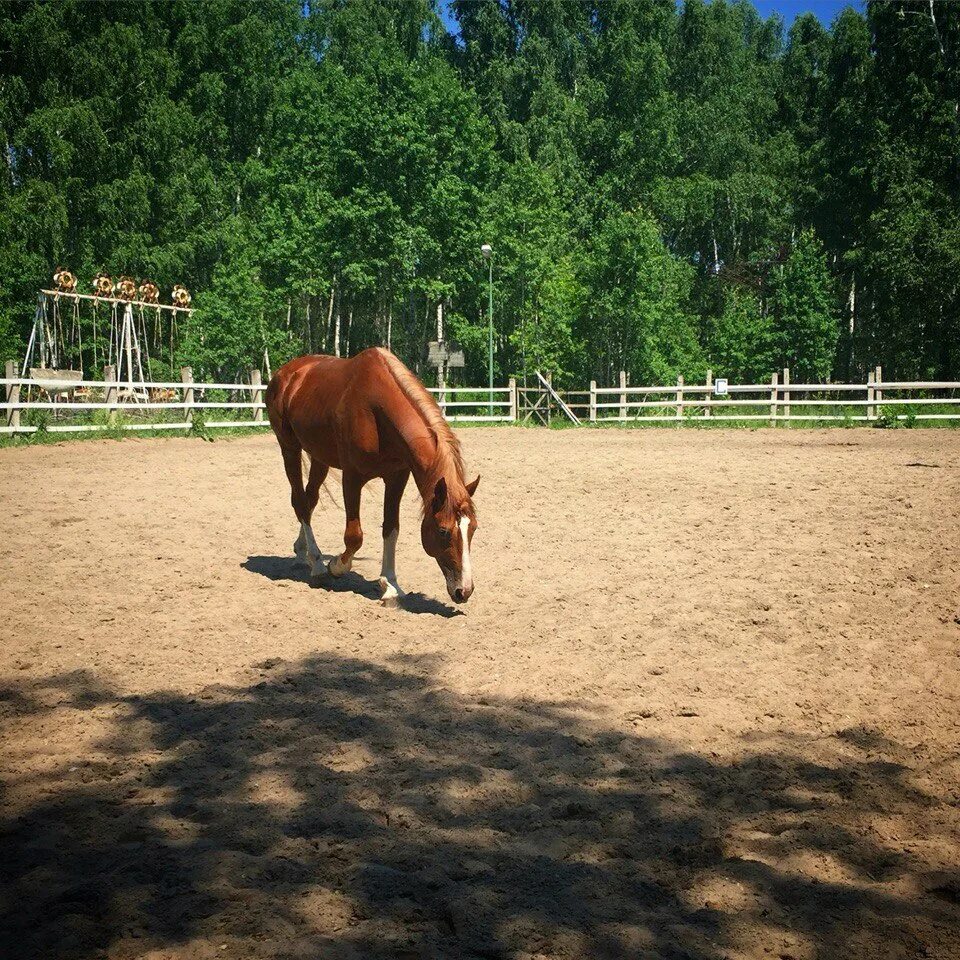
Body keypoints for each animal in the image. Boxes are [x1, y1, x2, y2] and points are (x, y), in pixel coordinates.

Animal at [264, 348, 478, 604]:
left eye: (473, 529)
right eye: (443, 531)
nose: (464, 591)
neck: (377, 410)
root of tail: (285, 373)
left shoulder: (397, 477)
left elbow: (391, 529)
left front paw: (390, 585)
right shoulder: (352, 477)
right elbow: (354, 536)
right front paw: (336, 566)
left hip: (319, 457)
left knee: (310, 498)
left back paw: (301, 551)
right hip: (289, 448)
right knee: (301, 503)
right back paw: (317, 565)